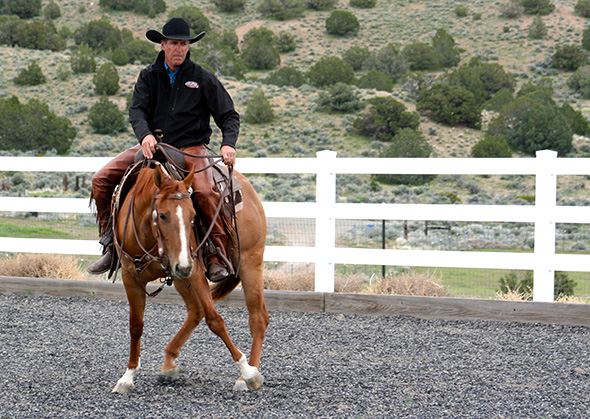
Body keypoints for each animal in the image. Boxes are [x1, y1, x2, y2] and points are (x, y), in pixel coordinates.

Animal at [111, 162, 268, 392]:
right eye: (163, 215)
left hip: (249, 264)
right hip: (180, 278)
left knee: (258, 318)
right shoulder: (130, 276)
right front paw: (127, 376)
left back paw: (248, 375)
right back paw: (169, 363)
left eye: (193, 215)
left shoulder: (194, 271)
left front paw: (247, 372)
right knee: (195, 310)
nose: (184, 265)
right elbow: (136, 326)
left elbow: (215, 320)